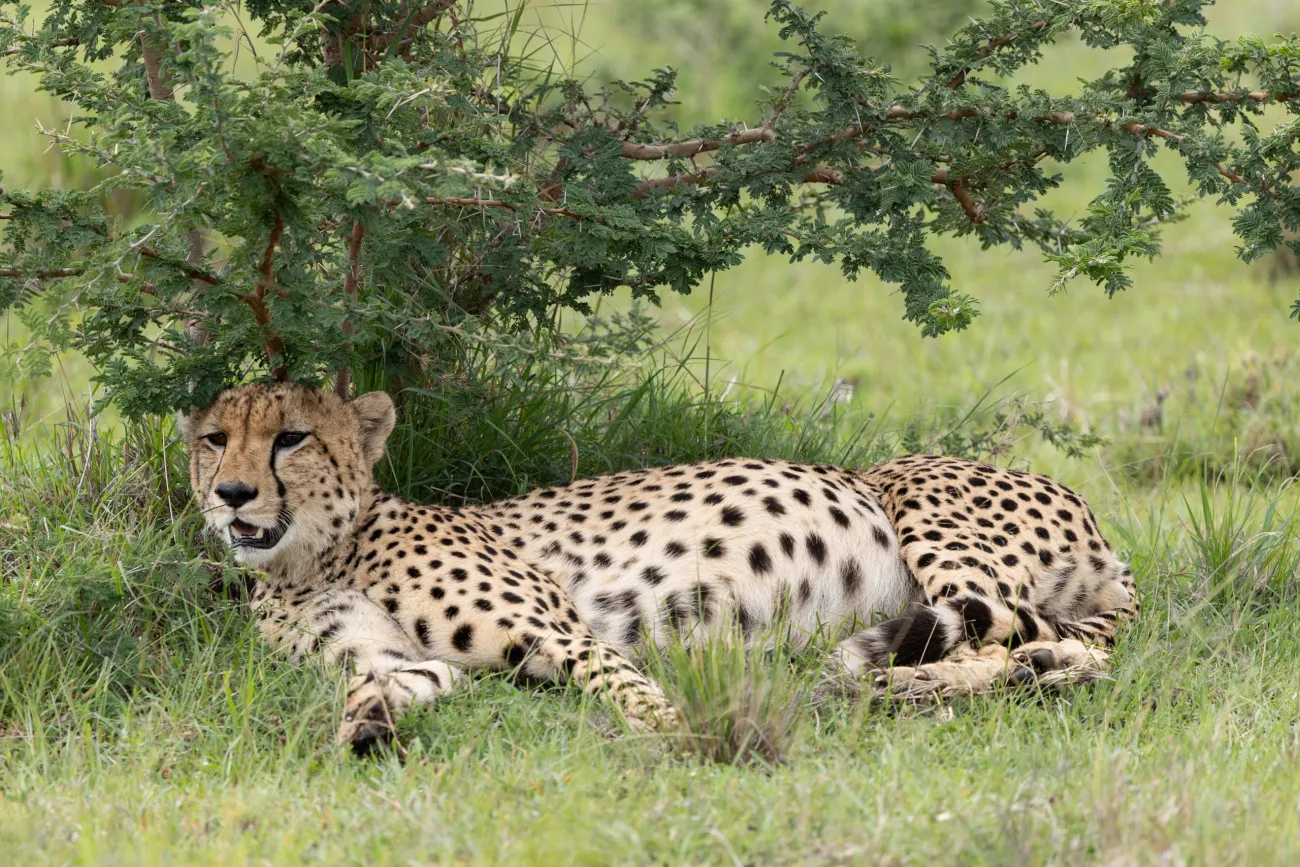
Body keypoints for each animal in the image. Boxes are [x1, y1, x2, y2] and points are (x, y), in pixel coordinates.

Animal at [181, 382, 1137, 755]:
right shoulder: (403, 658)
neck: (311, 557)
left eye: (292, 437)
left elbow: (632, 690)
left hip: (925, 513)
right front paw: (366, 725)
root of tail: (1090, 509)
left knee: (1034, 642)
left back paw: (908, 684)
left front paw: (684, 737)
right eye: (214, 438)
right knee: (1047, 648)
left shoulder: (563, 632)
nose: (231, 493)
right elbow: (373, 682)